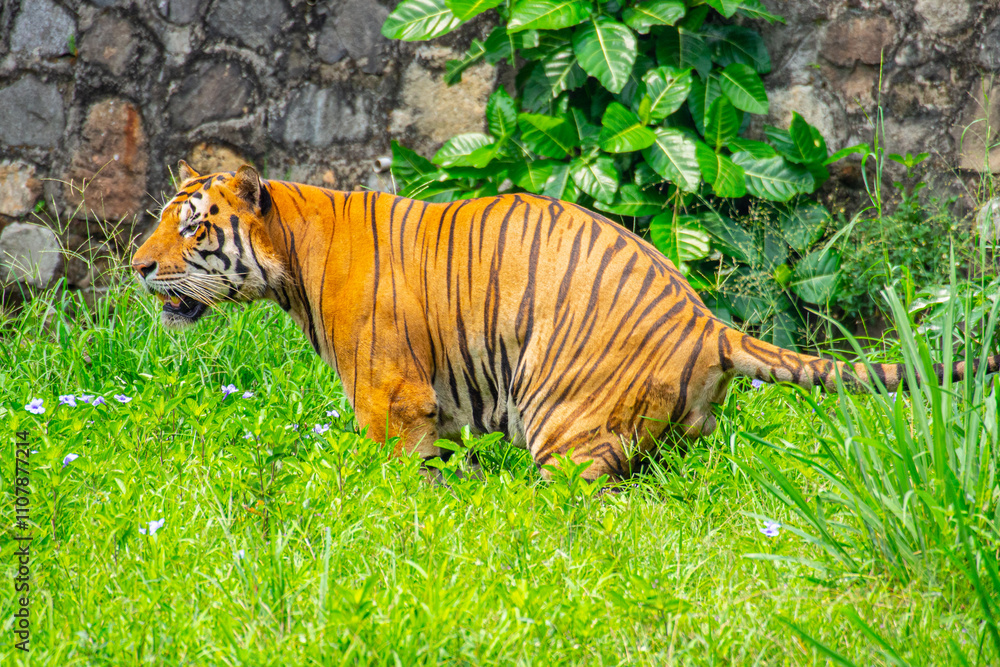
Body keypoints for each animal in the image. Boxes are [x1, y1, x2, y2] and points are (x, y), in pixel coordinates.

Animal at [131, 162, 1000, 480]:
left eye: (192, 227)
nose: (137, 267)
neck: (294, 257)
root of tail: (706, 321)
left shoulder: (391, 402)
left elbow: (401, 484)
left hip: (566, 418)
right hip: (671, 442)